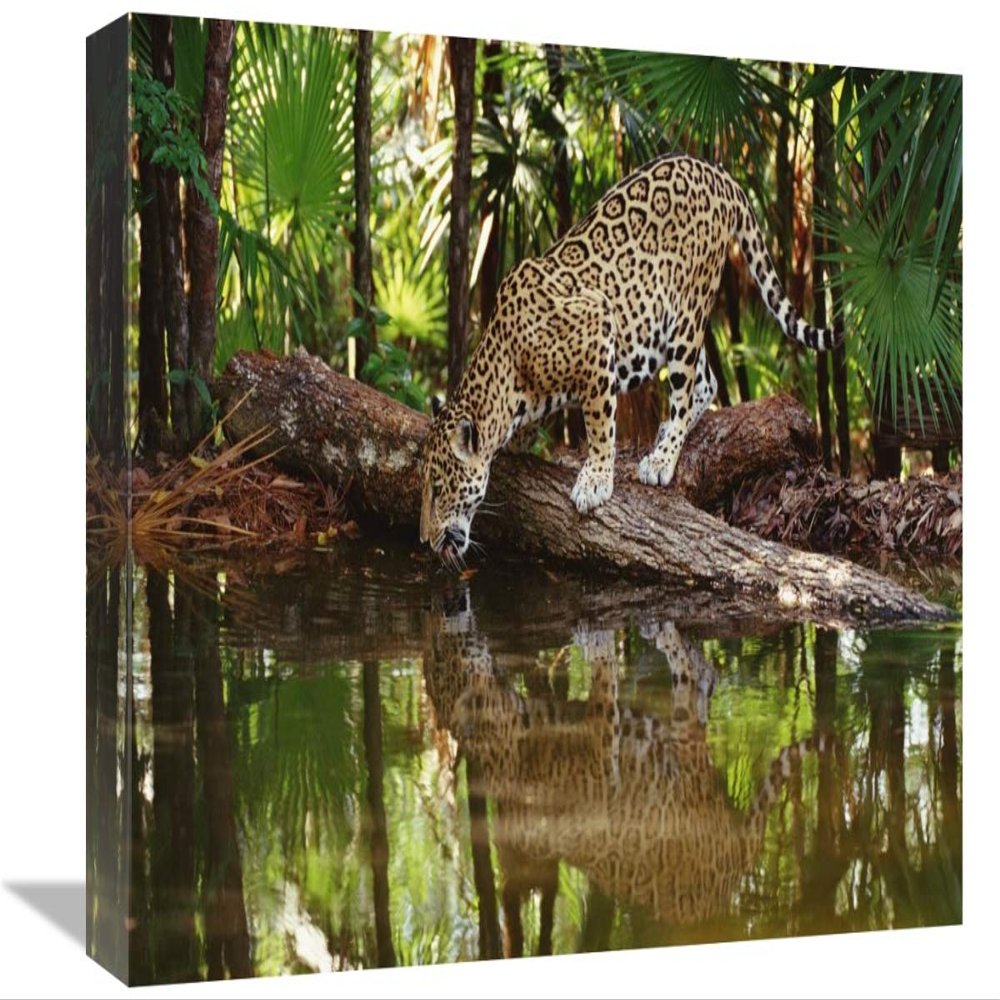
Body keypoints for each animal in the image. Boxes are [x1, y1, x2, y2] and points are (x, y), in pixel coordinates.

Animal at [419, 152, 843, 564]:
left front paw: (595, 479)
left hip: (686, 314)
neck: (508, 373)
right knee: (707, 381)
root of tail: (714, 170)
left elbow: (599, 424)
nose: (425, 539)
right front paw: (524, 440)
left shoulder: (597, 331)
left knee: (685, 389)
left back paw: (662, 458)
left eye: (438, 488)